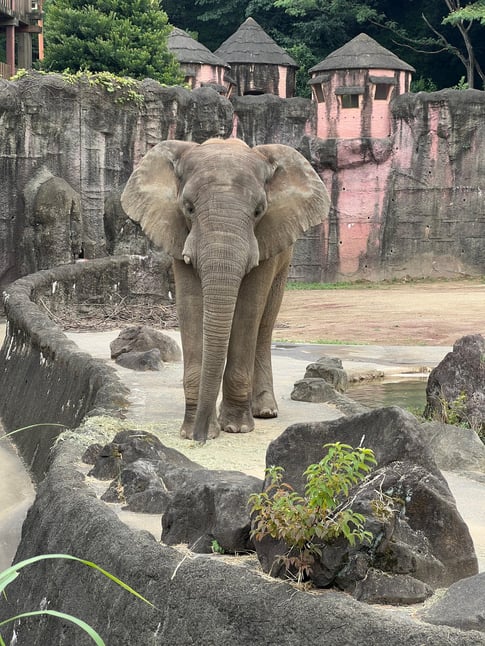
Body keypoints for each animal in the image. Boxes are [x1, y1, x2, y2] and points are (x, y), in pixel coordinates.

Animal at [122, 139, 328, 442]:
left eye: (258, 211)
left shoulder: (266, 238)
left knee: (264, 325)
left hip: (285, 259)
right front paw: (192, 431)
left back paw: (264, 411)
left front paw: (236, 428)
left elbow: (248, 307)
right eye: (189, 208)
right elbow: (190, 305)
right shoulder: (178, 234)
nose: (201, 439)